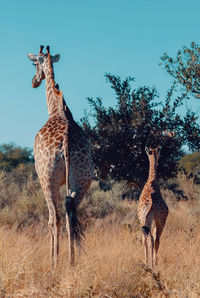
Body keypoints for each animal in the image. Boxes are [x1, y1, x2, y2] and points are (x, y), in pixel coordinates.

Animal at [27, 44, 94, 268]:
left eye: (34, 64)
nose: (34, 81)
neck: (56, 109)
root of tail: (65, 142)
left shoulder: (45, 178)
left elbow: (50, 219)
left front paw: (52, 259)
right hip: (82, 181)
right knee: (69, 213)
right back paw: (72, 261)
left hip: (48, 179)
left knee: (55, 217)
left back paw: (56, 262)